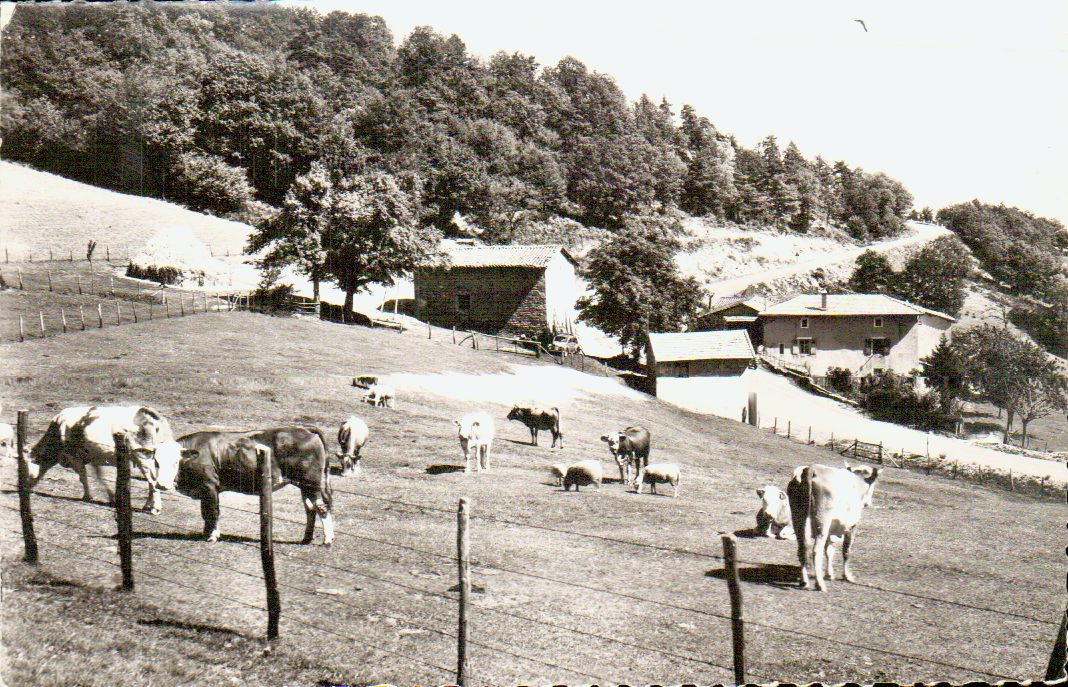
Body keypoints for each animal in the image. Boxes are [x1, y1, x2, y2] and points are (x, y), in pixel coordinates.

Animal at [27, 406, 181, 512]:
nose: (26, 488)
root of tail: (147, 411)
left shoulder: (74, 457)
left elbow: (83, 476)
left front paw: (87, 496)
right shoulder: (94, 457)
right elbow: (100, 477)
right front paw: (112, 497)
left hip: (143, 456)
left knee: (152, 480)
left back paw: (155, 507)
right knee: (152, 480)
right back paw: (147, 505)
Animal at [177, 427, 333, 544]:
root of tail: (306, 430)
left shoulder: (210, 484)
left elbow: (212, 512)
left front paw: (212, 536)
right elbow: (205, 512)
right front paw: (206, 534)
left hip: (311, 482)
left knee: (321, 507)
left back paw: (327, 540)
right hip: (306, 484)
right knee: (311, 509)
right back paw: (306, 538)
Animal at [790, 461, 880, 589]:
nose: (869, 503)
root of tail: (813, 468)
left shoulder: (830, 530)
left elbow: (829, 551)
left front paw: (829, 574)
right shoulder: (852, 526)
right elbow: (846, 551)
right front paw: (847, 576)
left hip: (799, 521)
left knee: (802, 548)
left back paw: (804, 581)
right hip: (822, 521)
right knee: (816, 550)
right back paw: (819, 584)